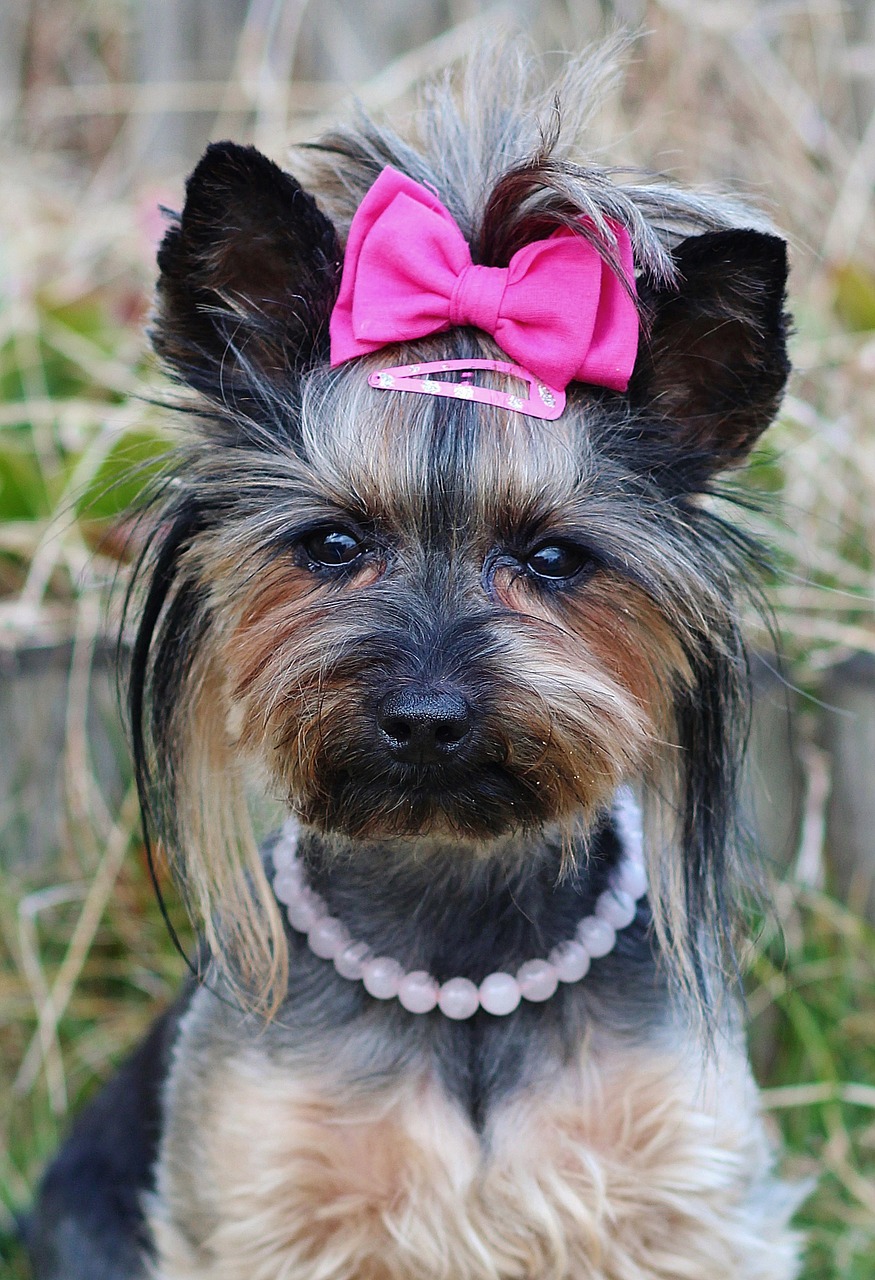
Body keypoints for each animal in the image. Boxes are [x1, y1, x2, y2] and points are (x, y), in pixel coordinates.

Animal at [30, 47, 803, 1280]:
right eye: (333, 543)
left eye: (554, 557)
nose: (428, 716)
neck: (460, 966)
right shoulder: (265, 1196)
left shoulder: (678, 1195)